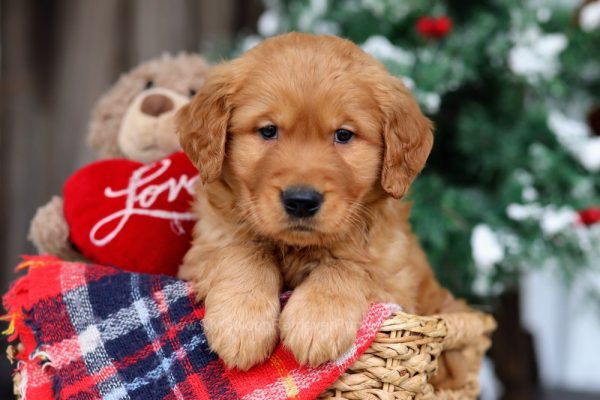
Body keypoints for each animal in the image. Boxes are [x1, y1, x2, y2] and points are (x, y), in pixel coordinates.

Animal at [176, 32, 466, 376]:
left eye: (343, 135)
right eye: (268, 130)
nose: (301, 201)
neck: (297, 248)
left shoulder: (395, 278)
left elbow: (349, 264)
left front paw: (316, 320)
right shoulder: (203, 249)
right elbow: (244, 250)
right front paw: (241, 321)